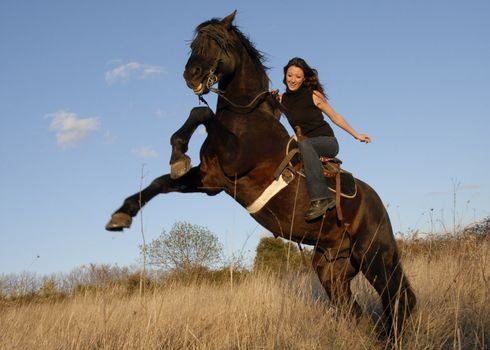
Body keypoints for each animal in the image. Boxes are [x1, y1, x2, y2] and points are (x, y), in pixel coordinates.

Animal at [105, 10, 416, 338]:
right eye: (193, 44)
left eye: (218, 42)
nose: (191, 74)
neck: (246, 116)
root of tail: (378, 204)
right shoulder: (211, 180)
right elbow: (162, 181)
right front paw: (123, 214)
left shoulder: (233, 163)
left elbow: (202, 113)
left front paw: (178, 153)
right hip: (333, 265)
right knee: (353, 308)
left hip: (374, 255)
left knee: (397, 297)